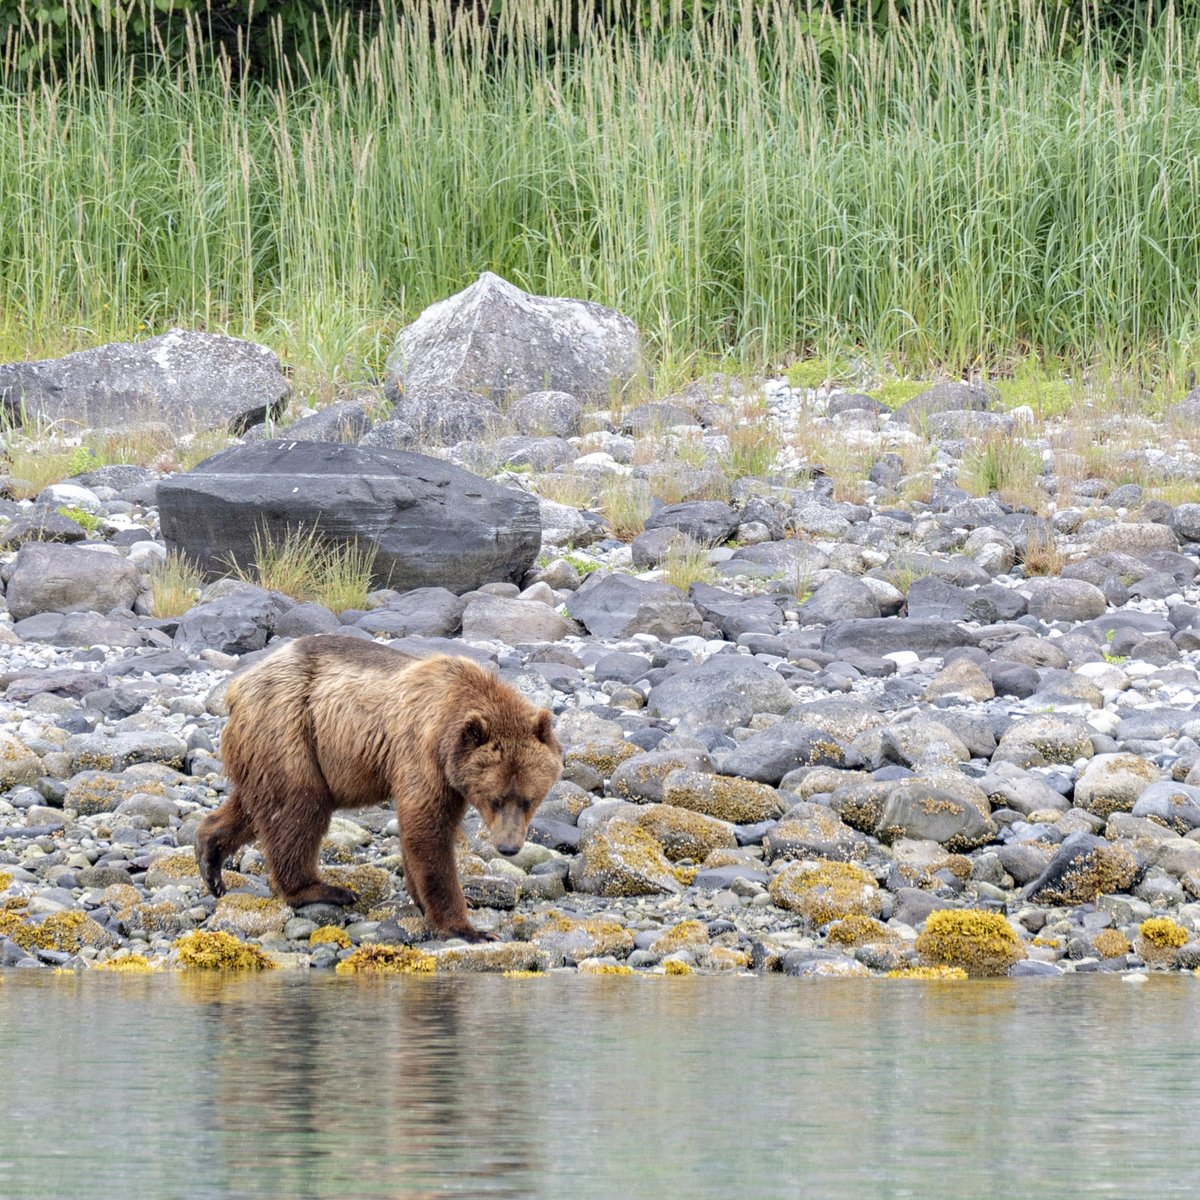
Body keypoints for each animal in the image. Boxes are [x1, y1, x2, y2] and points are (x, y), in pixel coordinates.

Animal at [196, 633, 561, 940]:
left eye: (528, 800)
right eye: (494, 799)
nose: (509, 848)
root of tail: (238, 686)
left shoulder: (448, 773)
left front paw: (433, 901)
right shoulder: (422, 755)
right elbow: (427, 830)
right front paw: (467, 927)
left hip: (266, 746)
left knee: (254, 806)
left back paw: (209, 859)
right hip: (289, 729)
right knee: (297, 809)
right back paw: (321, 889)